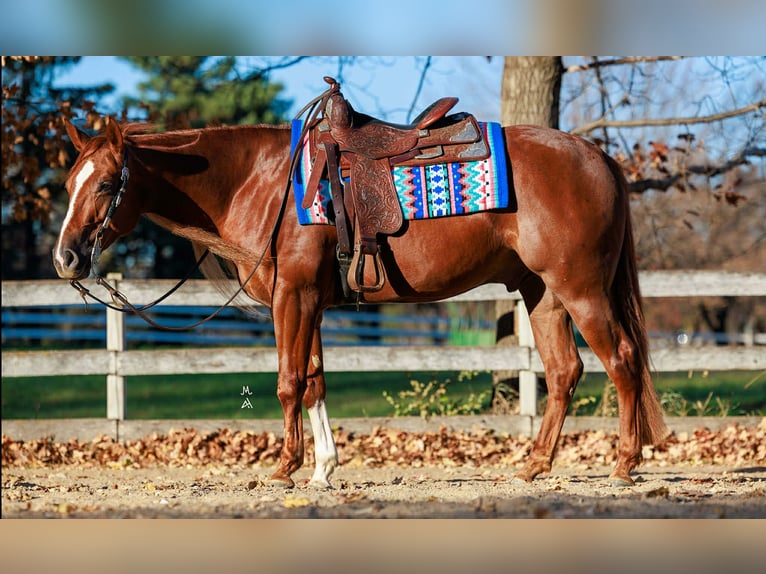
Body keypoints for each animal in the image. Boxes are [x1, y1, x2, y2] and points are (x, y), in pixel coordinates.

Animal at [53, 112, 668, 488]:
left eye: (106, 184)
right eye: (67, 184)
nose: (66, 259)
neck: (263, 182)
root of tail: (596, 154)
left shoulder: (294, 297)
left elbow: (288, 381)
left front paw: (285, 466)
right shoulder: (307, 302)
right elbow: (314, 381)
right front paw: (324, 468)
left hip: (582, 290)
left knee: (622, 362)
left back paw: (624, 463)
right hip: (543, 295)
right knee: (565, 372)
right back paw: (534, 465)